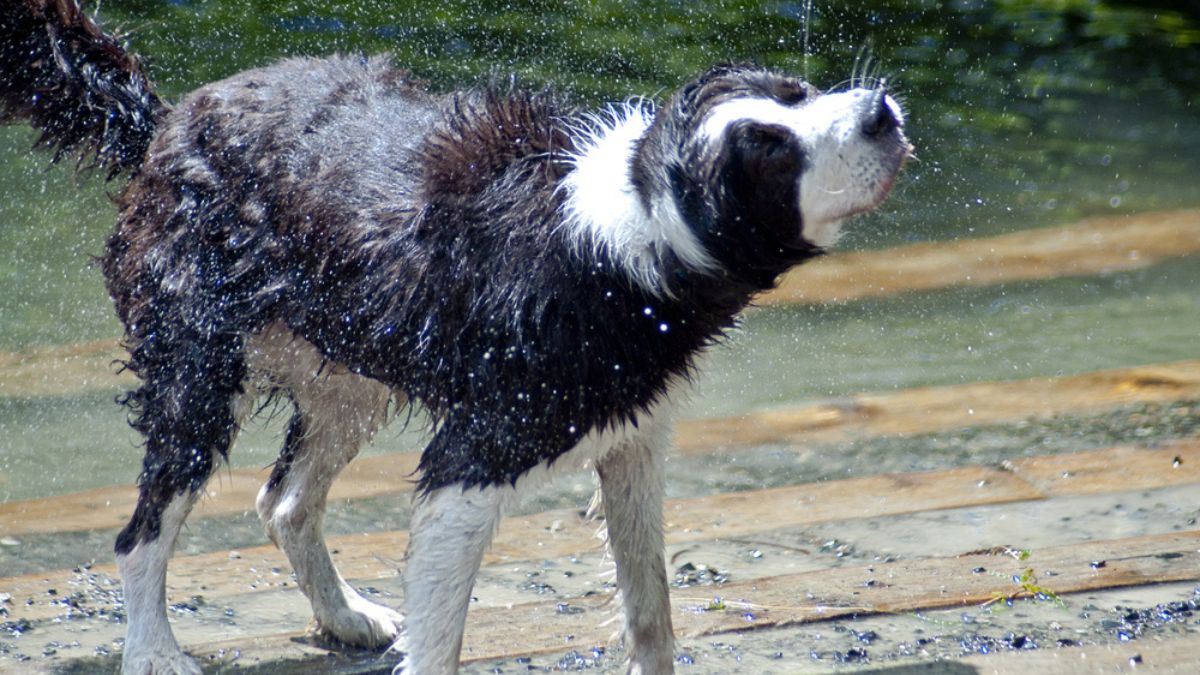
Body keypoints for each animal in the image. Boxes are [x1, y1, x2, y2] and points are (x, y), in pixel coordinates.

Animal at [0, 2, 907, 667]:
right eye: (771, 149)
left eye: (796, 89)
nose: (879, 112)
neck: (628, 233)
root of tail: (166, 124)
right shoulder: (471, 462)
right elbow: (442, 637)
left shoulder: (633, 438)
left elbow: (649, 609)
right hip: (198, 372)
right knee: (141, 533)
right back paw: (155, 650)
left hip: (345, 378)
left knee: (286, 501)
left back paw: (346, 617)